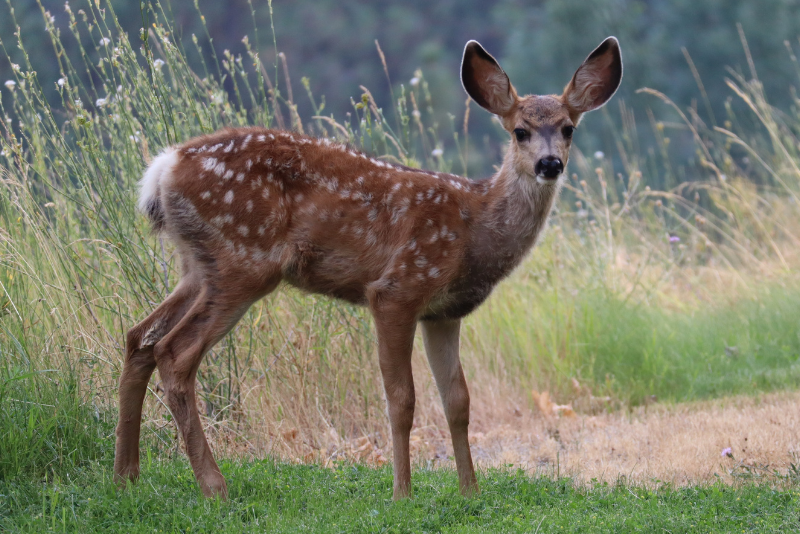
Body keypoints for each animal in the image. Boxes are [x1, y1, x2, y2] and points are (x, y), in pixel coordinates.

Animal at [114, 37, 622, 500]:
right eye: (520, 130)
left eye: (568, 128)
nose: (549, 163)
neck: (474, 227)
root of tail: (162, 169)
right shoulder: (398, 288)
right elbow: (402, 399)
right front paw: (402, 493)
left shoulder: (443, 312)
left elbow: (457, 400)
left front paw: (470, 492)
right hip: (244, 260)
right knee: (175, 352)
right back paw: (214, 486)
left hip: (198, 266)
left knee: (140, 338)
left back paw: (126, 475)